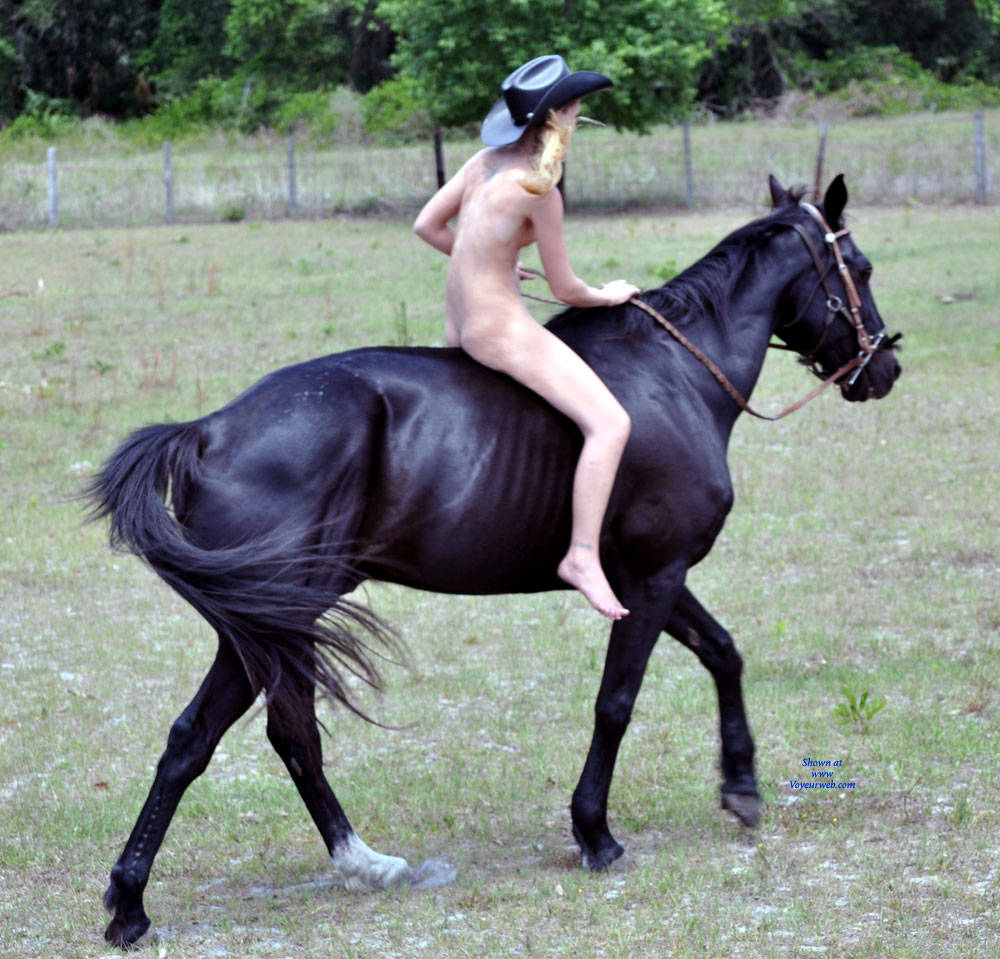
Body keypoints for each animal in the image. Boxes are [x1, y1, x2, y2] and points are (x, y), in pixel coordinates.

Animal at [87, 175, 901, 948]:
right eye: (859, 266)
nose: (886, 366)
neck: (676, 372)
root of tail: (207, 429)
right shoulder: (654, 575)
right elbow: (616, 701)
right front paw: (595, 833)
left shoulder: (653, 578)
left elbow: (723, 653)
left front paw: (741, 786)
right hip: (276, 617)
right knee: (224, 737)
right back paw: (148, 900)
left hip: (271, 625)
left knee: (248, 738)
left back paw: (326, 869)